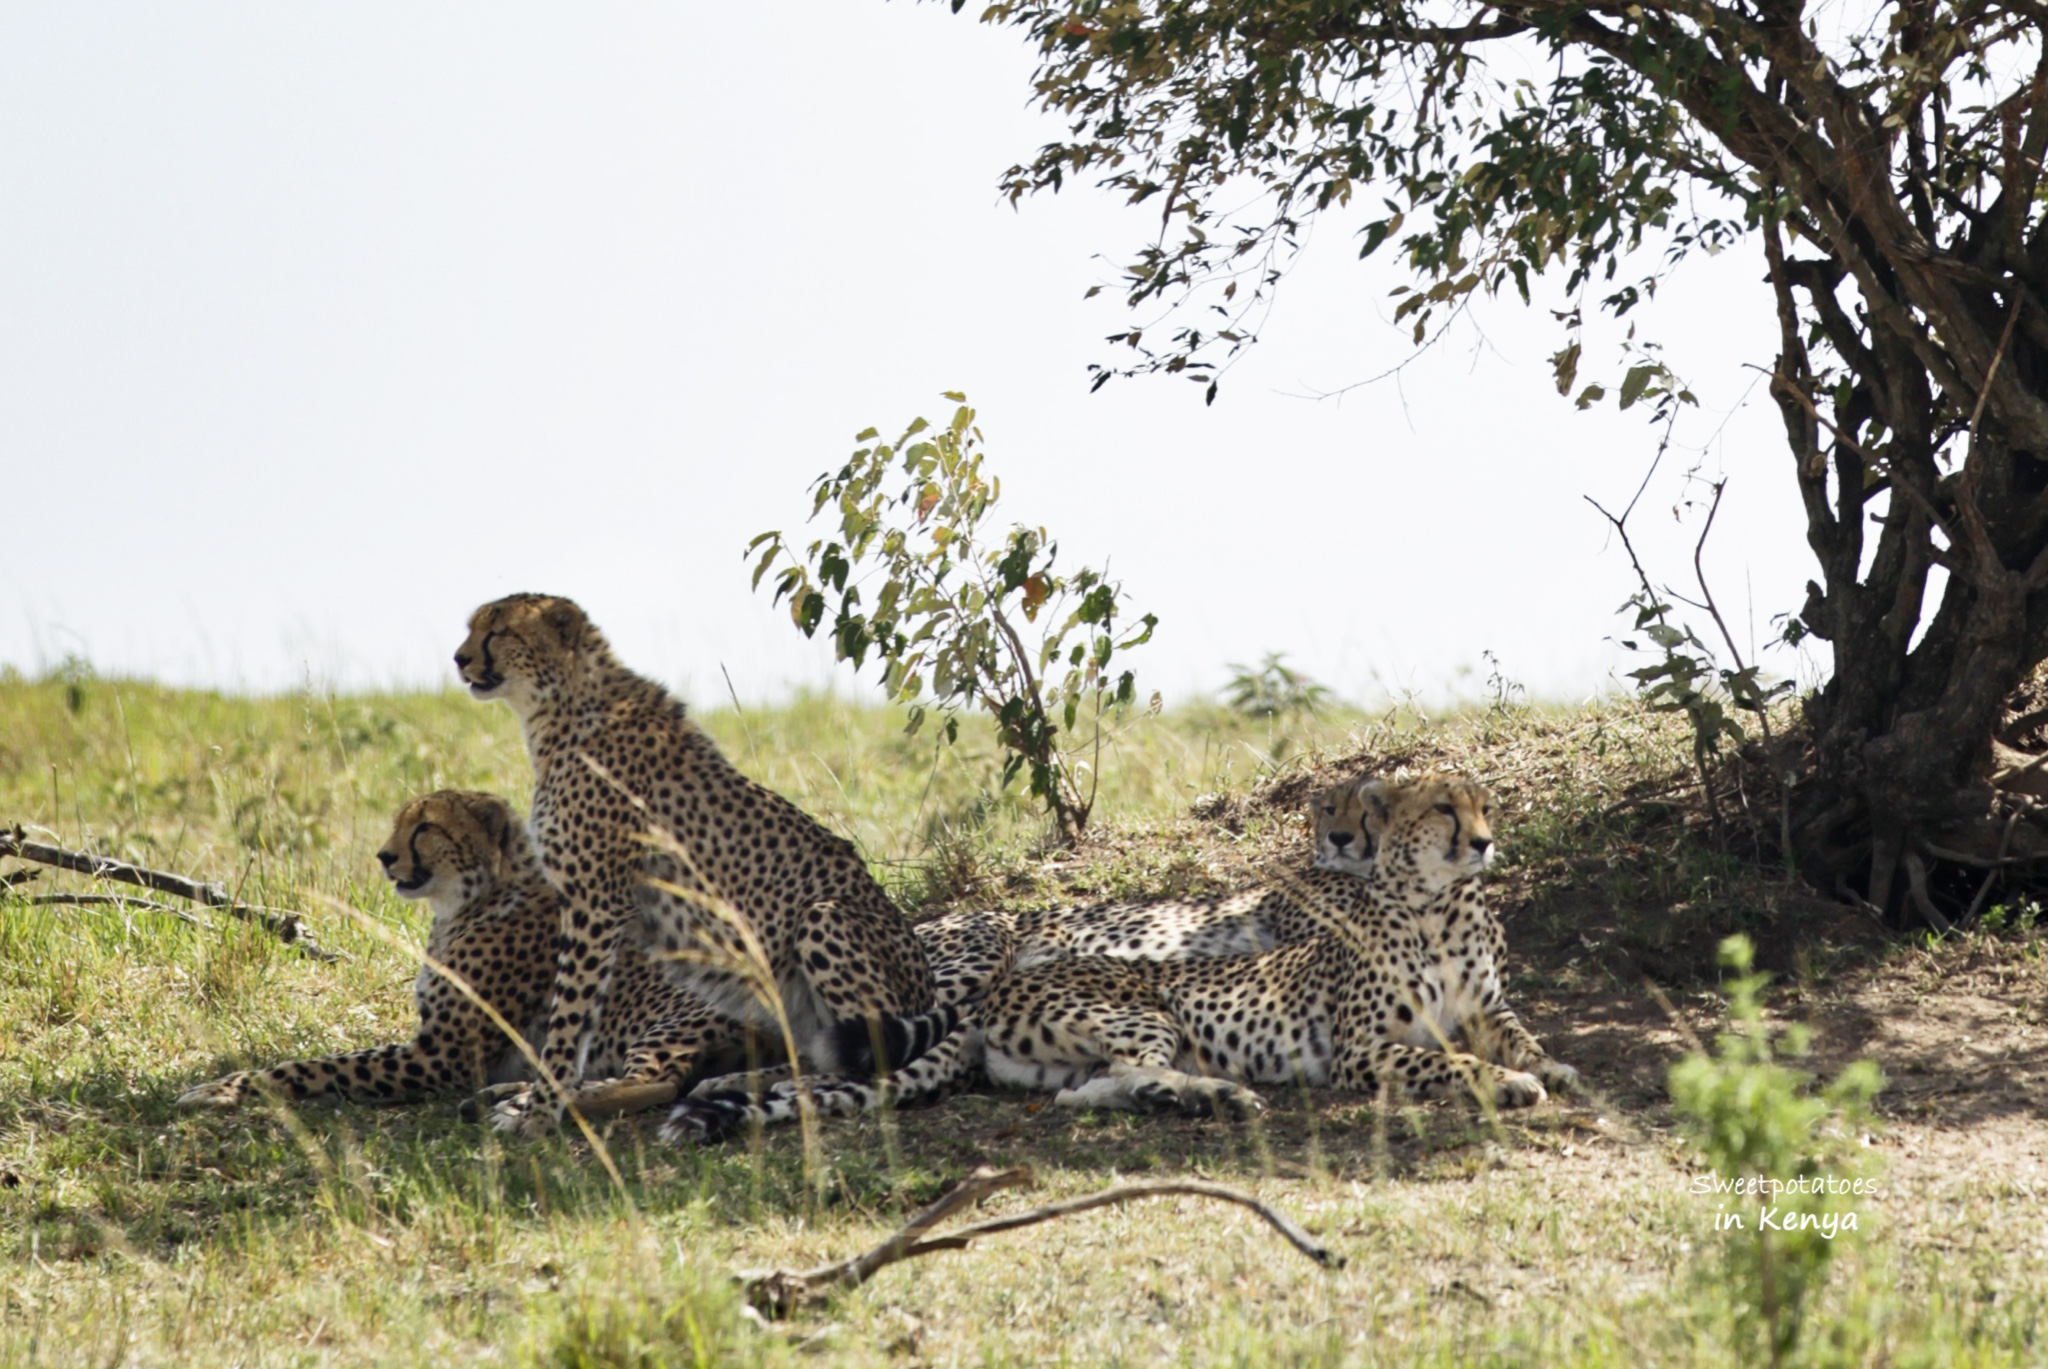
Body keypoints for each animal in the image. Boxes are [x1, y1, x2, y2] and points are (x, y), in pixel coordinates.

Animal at [176, 791, 733, 1114]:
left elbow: (317, 1065)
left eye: (426, 828)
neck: (472, 900)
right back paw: (509, 1095)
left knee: (659, 1084)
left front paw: (220, 1088)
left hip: (667, 1019)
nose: (385, 857)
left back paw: (560, 1100)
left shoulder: (443, 1053)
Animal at [456, 594, 942, 1131]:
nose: (459, 659)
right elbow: (578, 1020)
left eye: (499, 631)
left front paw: (540, 1111)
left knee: (870, 1060)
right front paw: (536, 1101)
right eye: (473, 628)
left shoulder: (595, 905)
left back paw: (789, 1088)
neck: (559, 707)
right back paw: (736, 1079)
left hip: (823, 917)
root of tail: (930, 992)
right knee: (814, 1051)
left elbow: (568, 1021)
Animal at [663, 774, 1384, 1139]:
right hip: (978, 956)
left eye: (1373, 805)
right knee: (846, 1051)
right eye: (1328, 806)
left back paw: (727, 1085)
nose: (1343, 837)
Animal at [983, 774, 1572, 1114]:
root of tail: (1004, 986)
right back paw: (1219, 1093)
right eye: (1444, 808)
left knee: (1080, 1090)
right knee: (1131, 1067)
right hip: (1143, 1014)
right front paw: (1510, 1081)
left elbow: (1525, 1039)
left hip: (1073, 1062)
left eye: (1486, 808)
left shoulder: (1487, 1011)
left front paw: (1548, 1068)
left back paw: (1174, 1098)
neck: (1442, 906)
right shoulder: (1359, 1051)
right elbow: (1454, 1062)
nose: (1483, 842)